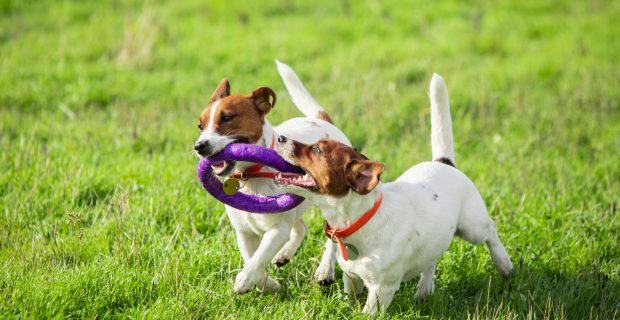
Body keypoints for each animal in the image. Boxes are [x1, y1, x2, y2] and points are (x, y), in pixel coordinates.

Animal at [194, 61, 348, 294]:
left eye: (227, 117)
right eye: (200, 126)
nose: (199, 146)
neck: (251, 175)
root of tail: (322, 121)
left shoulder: (277, 229)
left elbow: (259, 257)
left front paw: (244, 280)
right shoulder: (244, 232)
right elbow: (252, 258)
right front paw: (267, 284)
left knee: (333, 236)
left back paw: (324, 271)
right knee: (301, 227)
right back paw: (284, 255)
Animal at [274, 74, 512, 312]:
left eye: (317, 150)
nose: (280, 138)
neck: (360, 220)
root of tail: (443, 162)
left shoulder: (381, 290)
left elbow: (367, 312)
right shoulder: (352, 277)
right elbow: (352, 296)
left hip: (472, 227)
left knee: (490, 230)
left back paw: (504, 264)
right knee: (432, 259)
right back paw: (424, 289)